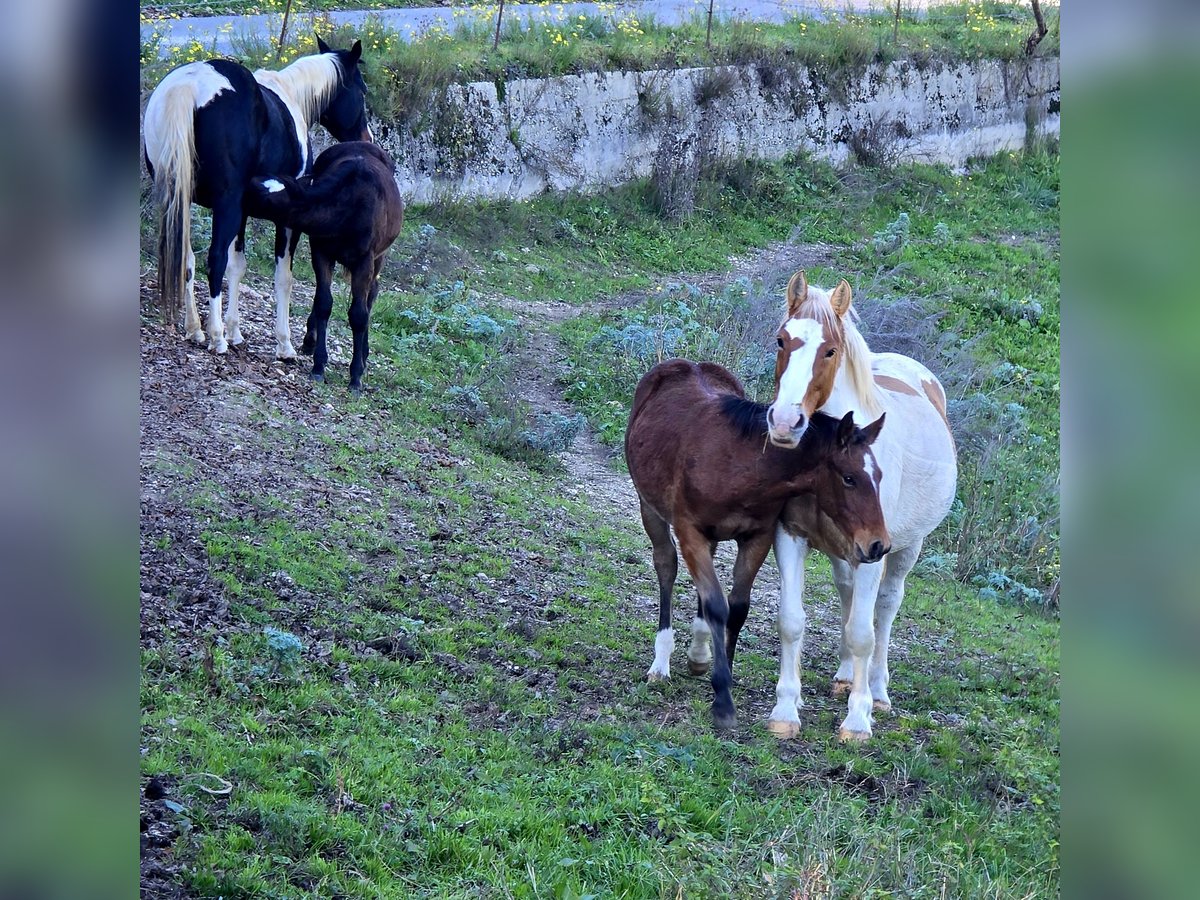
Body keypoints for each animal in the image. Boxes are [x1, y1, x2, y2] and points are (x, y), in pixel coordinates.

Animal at [141, 36, 367, 360]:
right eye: (361, 91)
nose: (365, 138)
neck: (290, 96)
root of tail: (188, 86)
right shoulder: (286, 219)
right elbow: (282, 276)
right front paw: (284, 345)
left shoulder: (243, 210)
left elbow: (237, 266)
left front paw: (235, 332)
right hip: (225, 205)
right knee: (214, 259)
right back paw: (215, 336)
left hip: (180, 201)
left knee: (188, 259)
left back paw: (195, 329)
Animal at [246, 142, 405, 393]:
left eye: (258, 194)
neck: (347, 207)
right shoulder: (321, 251)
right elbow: (323, 302)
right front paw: (318, 365)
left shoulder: (364, 260)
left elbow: (359, 314)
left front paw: (355, 376)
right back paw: (310, 341)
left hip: (380, 255)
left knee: (372, 294)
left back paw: (364, 353)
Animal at [628, 360, 892, 734]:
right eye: (849, 478)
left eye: (879, 476)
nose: (878, 545)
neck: (740, 467)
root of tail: (687, 364)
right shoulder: (690, 531)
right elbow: (717, 605)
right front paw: (723, 702)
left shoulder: (757, 537)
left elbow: (736, 608)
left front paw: (722, 676)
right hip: (649, 507)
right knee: (666, 566)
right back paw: (660, 662)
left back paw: (698, 654)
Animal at [763, 271, 960, 744]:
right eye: (782, 340)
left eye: (830, 350)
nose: (784, 422)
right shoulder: (790, 536)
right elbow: (792, 620)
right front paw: (785, 711)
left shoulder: (874, 549)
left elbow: (863, 632)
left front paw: (858, 720)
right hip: (845, 552)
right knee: (849, 595)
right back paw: (843, 677)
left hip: (906, 548)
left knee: (884, 607)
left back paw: (878, 691)